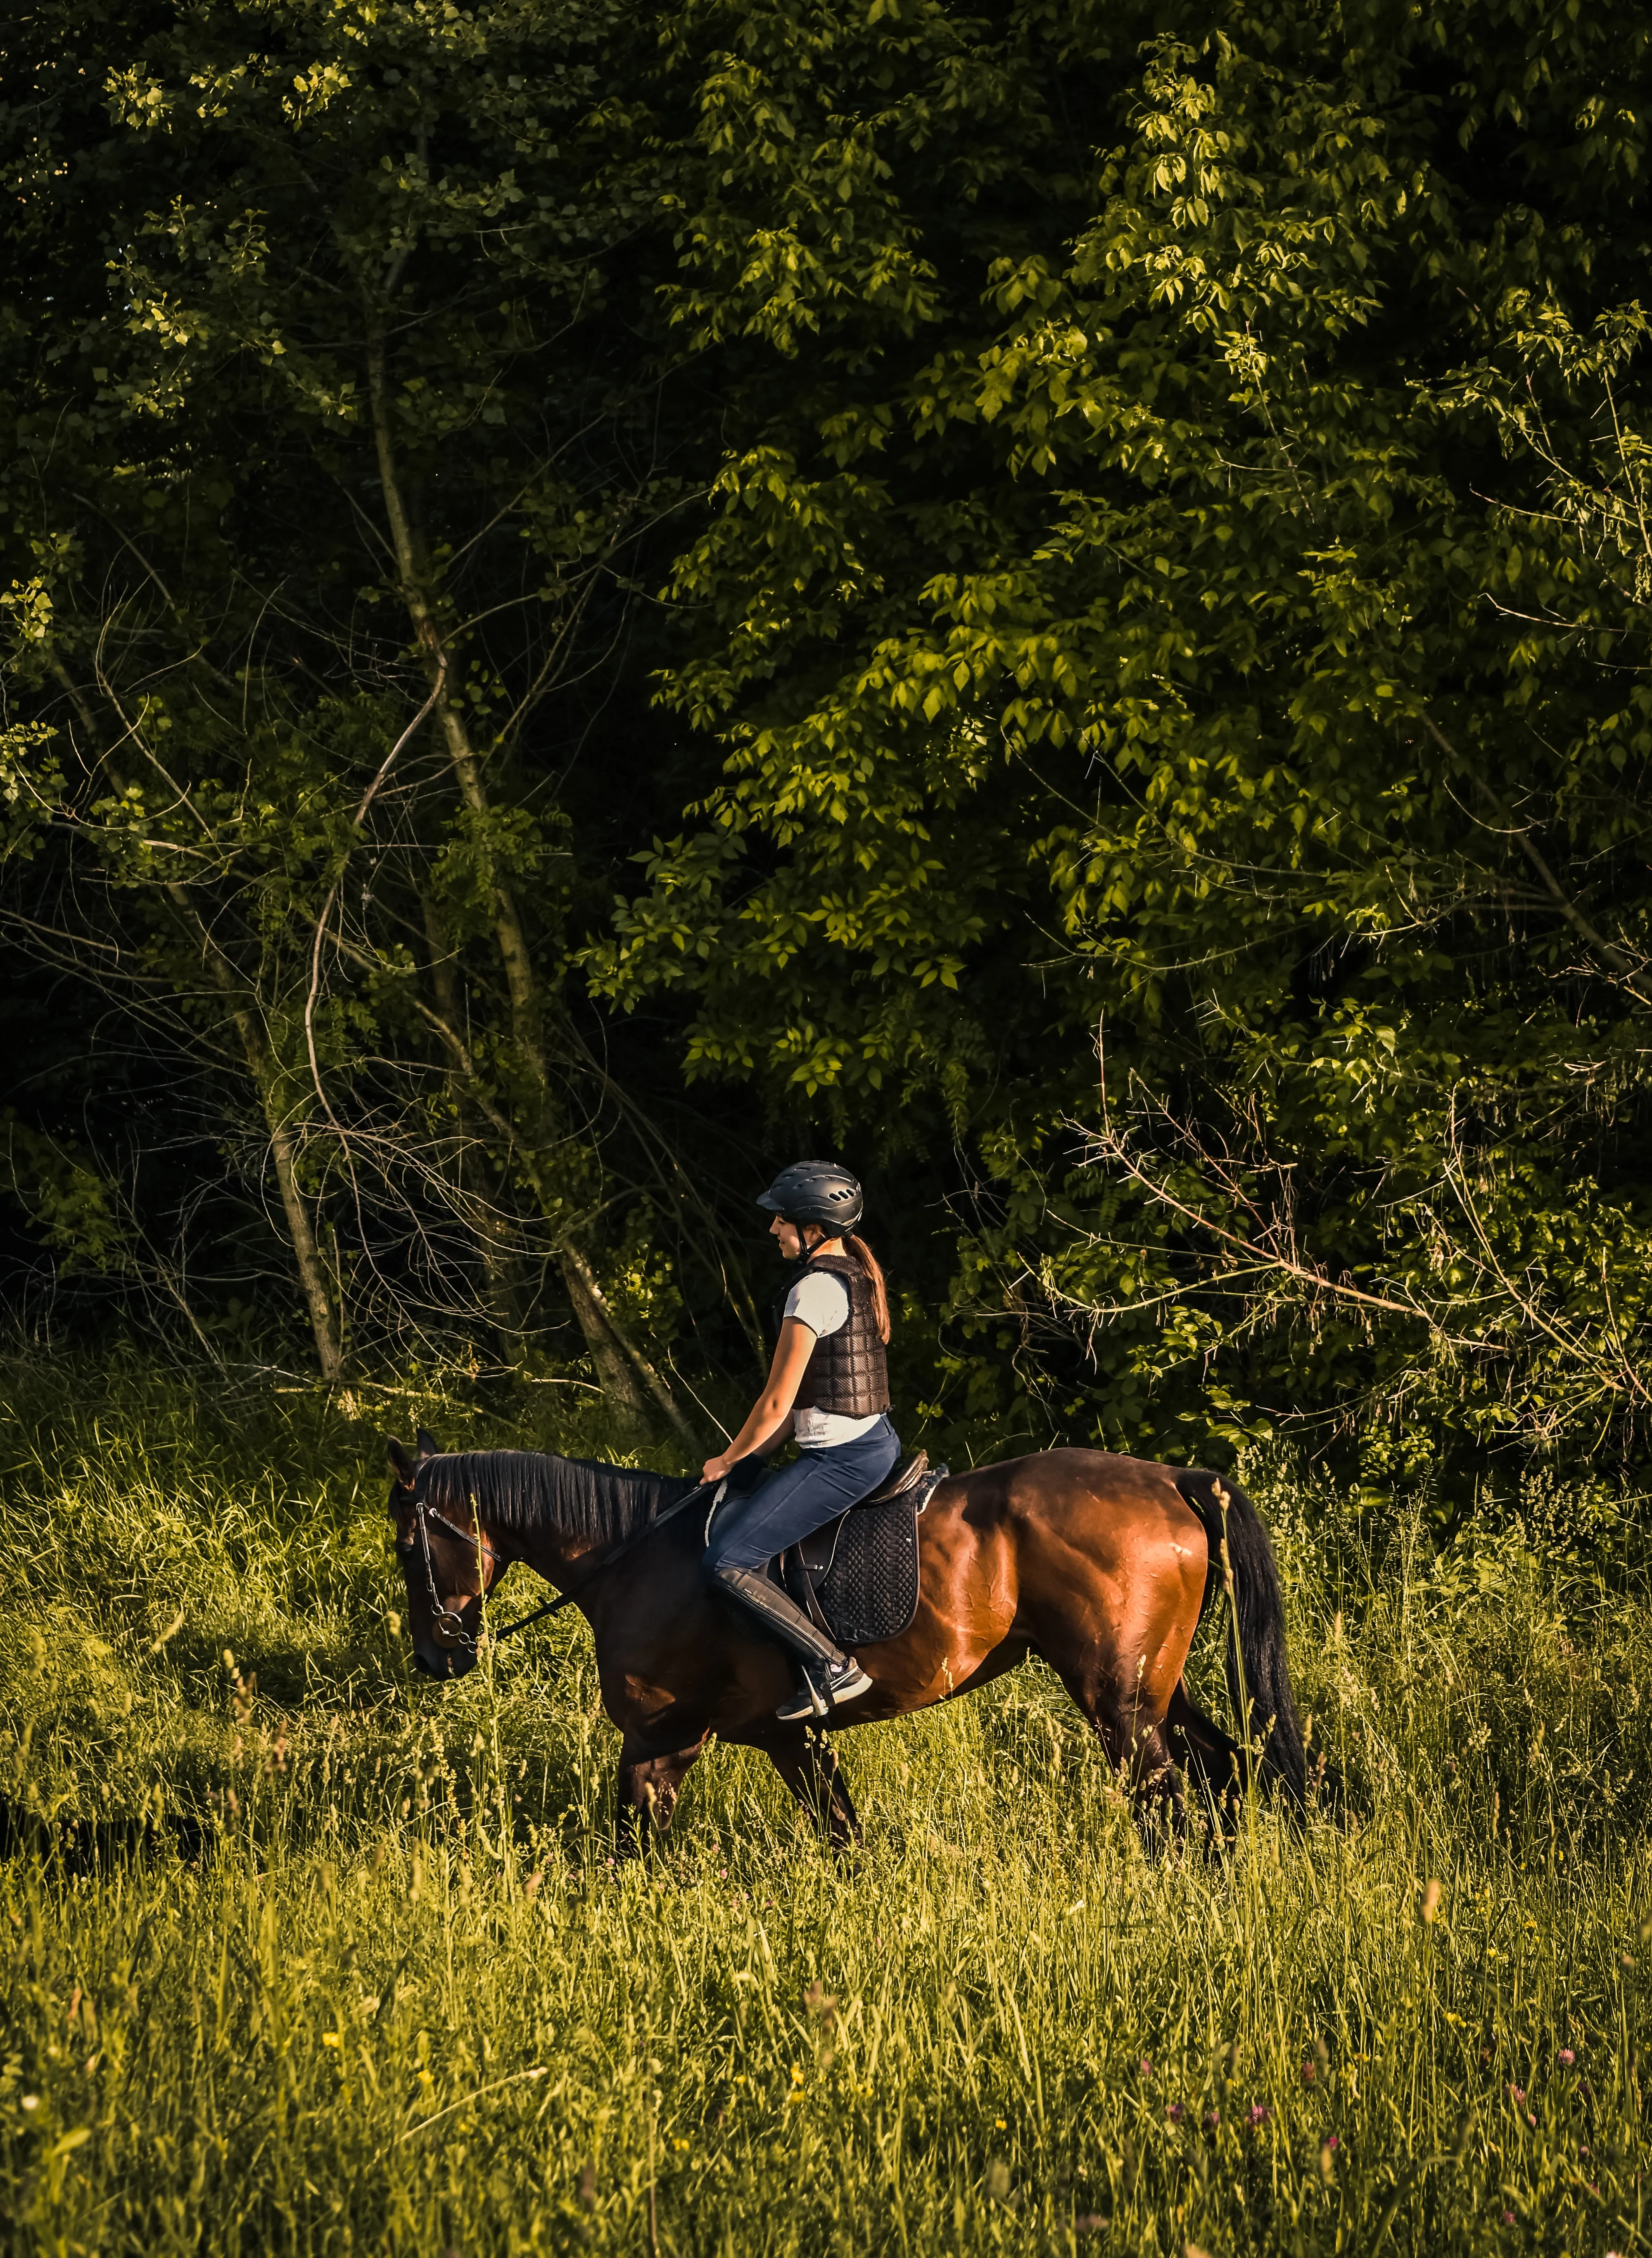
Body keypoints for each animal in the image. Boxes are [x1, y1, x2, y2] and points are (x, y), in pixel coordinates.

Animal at [388, 1427, 1300, 1851]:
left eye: (404, 1542)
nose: (436, 1657)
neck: (633, 1556)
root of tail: (1171, 1480)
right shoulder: (788, 1739)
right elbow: (843, 1836)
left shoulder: (658, 1740)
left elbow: (626, 1849)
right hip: (1156, 1691)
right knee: (1226, 1774)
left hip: (1118, 1702)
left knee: (1168, 1804)